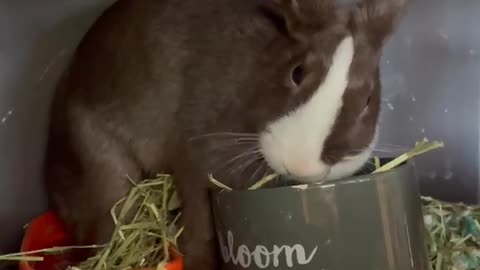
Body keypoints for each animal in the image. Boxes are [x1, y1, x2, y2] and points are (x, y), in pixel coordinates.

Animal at [44, 0, 408, 268]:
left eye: (368, 99)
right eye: (297, 72)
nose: (302, 165)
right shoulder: (196, 162)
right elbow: (200, 230)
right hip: (104, 171)